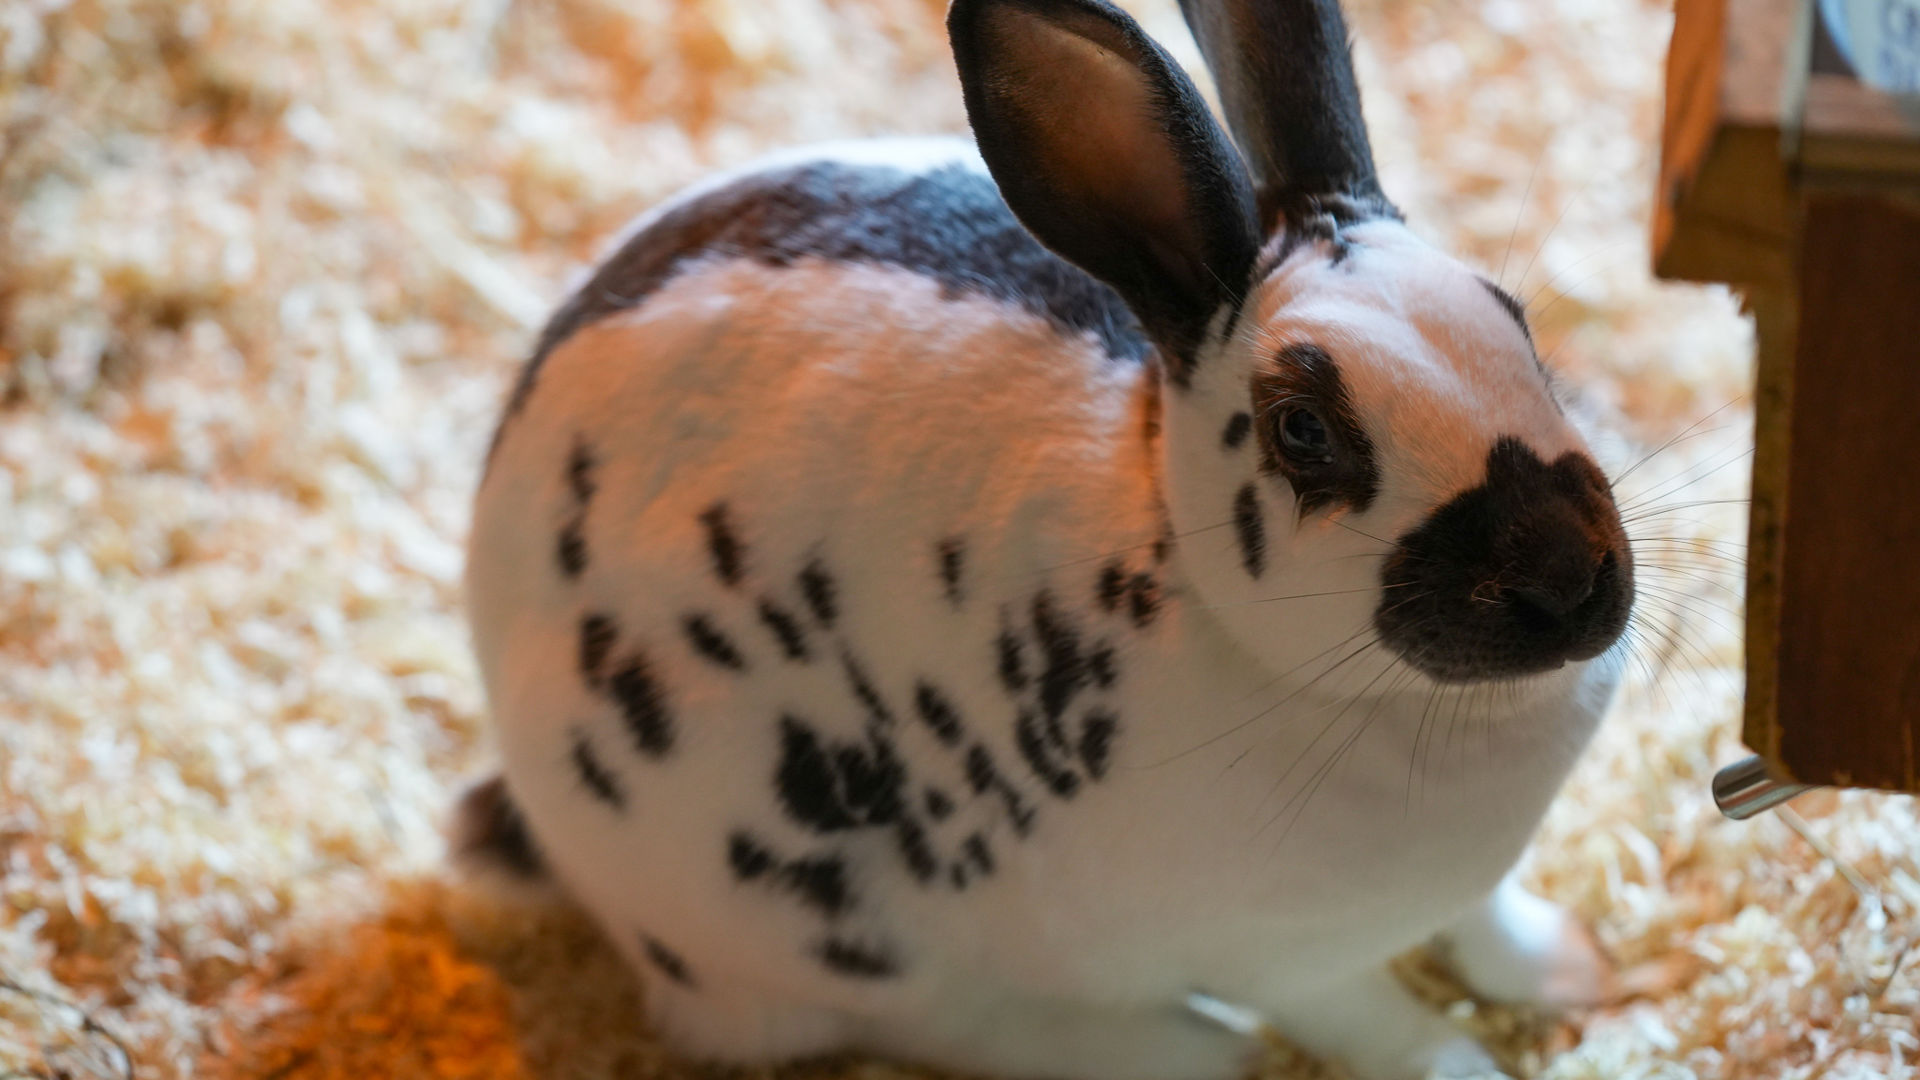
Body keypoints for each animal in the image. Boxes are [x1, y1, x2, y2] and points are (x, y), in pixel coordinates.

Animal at [455, 0, 1636, 1077]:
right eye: (1304, 430)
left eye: (1514, 319)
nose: (1568, 577)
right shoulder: (1295, 970)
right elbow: (1399, 1031)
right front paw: (1475, 1062)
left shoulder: (1472, 886)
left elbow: (1491, 929)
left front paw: (1575, 971)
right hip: (783, 910)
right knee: (940, 1021)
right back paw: (1188, 1053)